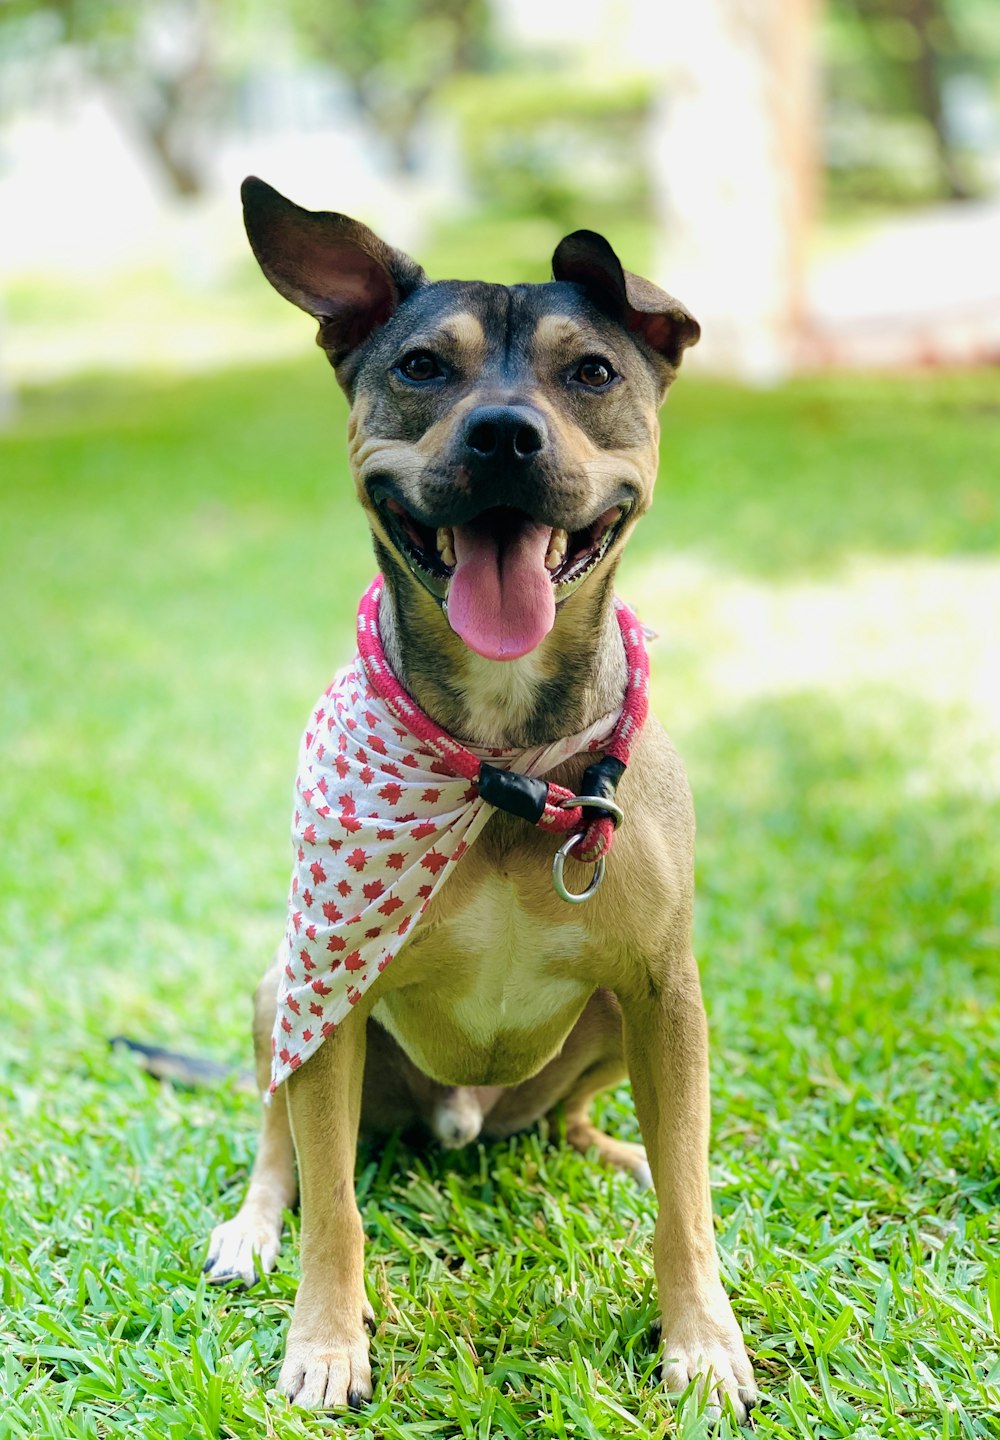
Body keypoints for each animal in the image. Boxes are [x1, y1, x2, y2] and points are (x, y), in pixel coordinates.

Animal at [206, 177, 760, 1416]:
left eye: (590, 372)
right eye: (422, 367)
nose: (503, 432)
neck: (505, 766)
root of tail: (467, 1119)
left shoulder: (667, 988)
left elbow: (687, 1209)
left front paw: (701, 1340)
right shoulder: (326, 998)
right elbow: (335, 1211)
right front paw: (325, 1343)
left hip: (613, 1022)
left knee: (587, 1126)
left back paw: (620, 1152)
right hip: (279, 991)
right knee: (277, 1144)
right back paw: (250, 1228)